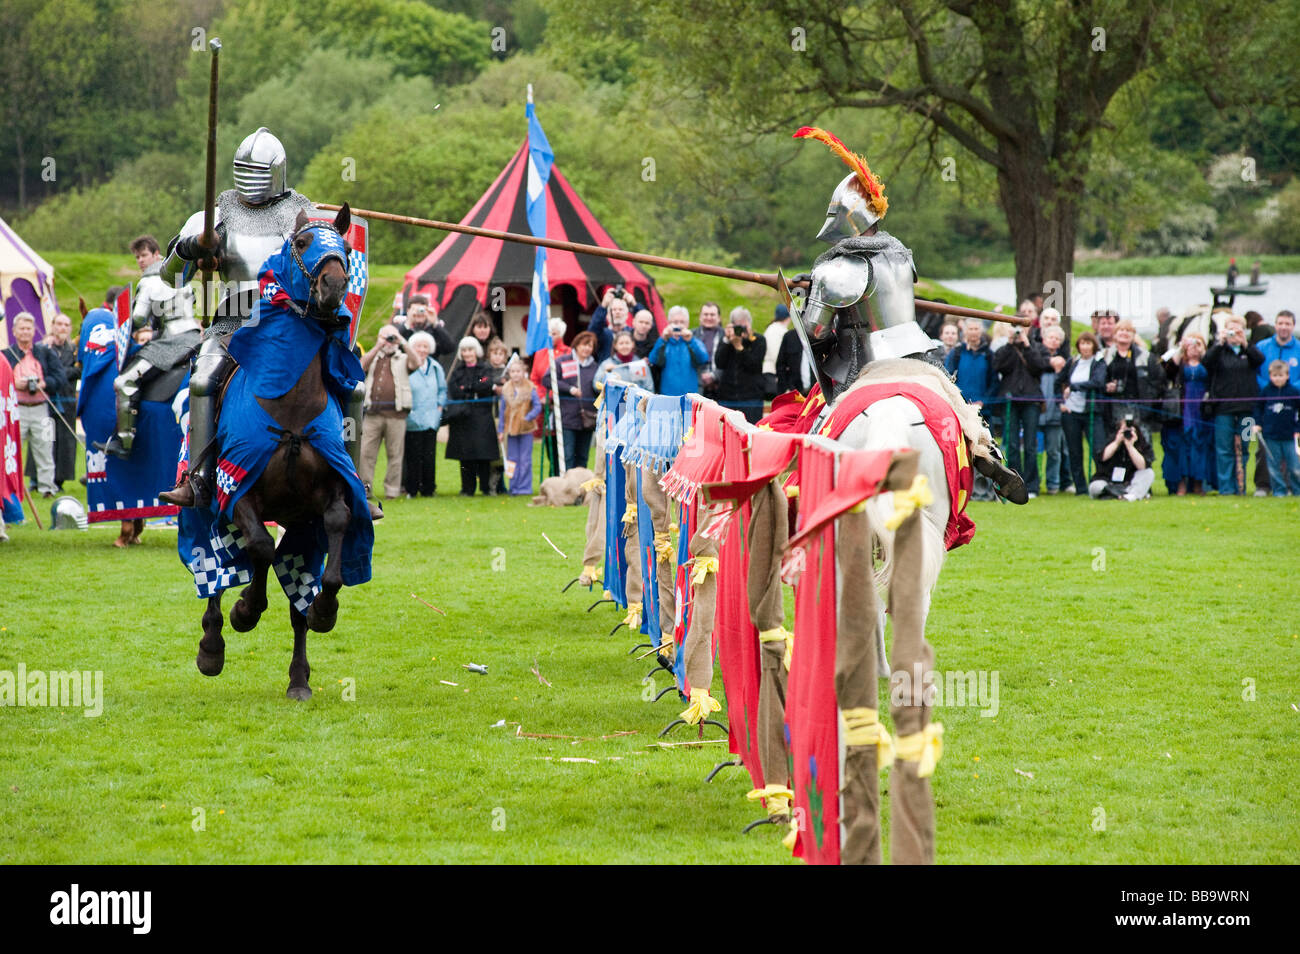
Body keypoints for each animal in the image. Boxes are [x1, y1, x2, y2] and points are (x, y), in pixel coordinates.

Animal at [195, 205, 356, 701]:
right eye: (302, 244)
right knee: (217, 573)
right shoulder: (236, 491)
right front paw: (245, 610)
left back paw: (299, 679)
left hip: (299, 526)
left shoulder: (329, 499)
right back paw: (212, 646)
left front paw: (325, 609)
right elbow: (261, 548)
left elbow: (333, 545)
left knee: (293, 602)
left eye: (345, 248)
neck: (291, 406)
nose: (334, 287)